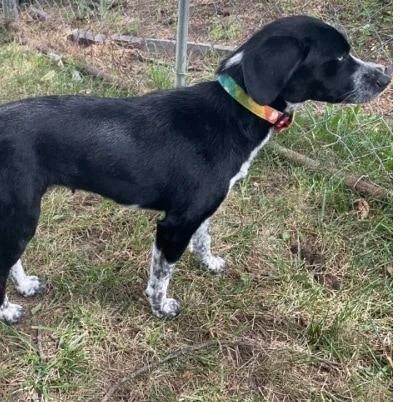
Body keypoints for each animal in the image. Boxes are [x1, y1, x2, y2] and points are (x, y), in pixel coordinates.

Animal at [0, 15, 390, 326]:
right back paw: (8, 311)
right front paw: (161, 308)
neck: (234, 109)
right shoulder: (174, 224)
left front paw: (210, 263)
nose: (385, 77)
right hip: (22, 212)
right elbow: (161, 276)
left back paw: (25, 286)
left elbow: (205, 239)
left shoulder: (202, 210)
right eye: (339, 57)